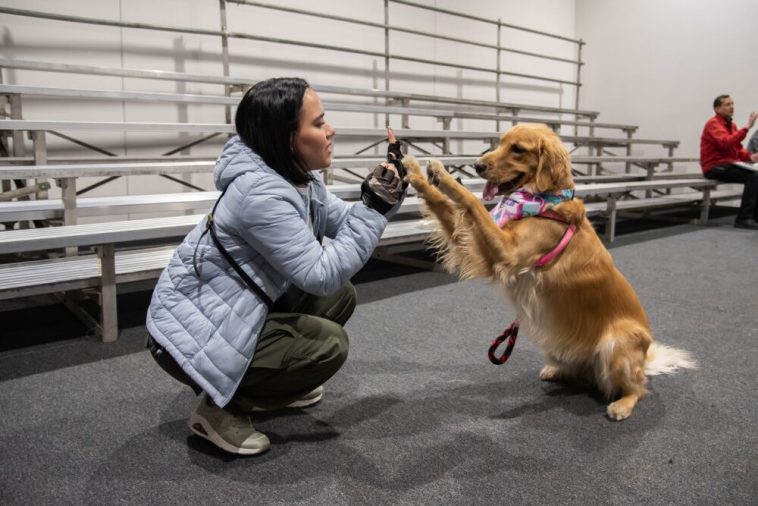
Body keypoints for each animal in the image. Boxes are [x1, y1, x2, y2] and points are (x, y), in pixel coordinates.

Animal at [406, 122, 696, 420]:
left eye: (518, 149)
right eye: (500, 143)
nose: (477, 165)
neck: (542, 200)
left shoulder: (507, 253)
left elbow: (472, 202)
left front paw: (444, 177)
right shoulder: (486, 253)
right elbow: (446, 205)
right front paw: (417, 175)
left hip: (619, 339)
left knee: (638, 387)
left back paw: (622, 404)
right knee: (585, 375)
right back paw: (557, 371)